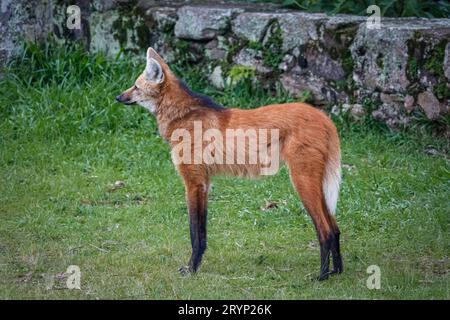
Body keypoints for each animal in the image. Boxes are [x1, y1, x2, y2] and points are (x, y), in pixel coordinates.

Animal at [116, 47, 342, 280]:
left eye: (136, 86)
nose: (117, 97)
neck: (181, 116)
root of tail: (324, 117)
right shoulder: (204, 183)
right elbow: (202, 233)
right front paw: (196, 266)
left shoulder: (193, 183)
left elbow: (194, 233)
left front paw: (191, 269)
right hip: (317, 183)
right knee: (335, 228)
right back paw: (337, 271)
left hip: (302, 180)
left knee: (325, 230)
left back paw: (322, 276)